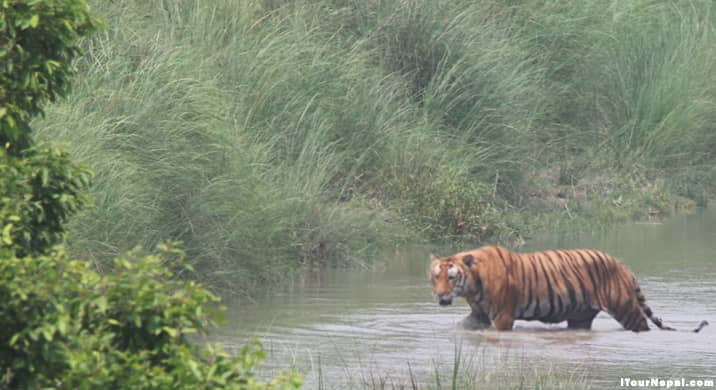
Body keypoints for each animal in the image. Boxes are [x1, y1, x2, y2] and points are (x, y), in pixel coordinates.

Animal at [428, 247, 708, 332]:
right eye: (435, 277)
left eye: (451, 278)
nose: (441, 295)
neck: (471, 287)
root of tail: (622, 265)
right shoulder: (478, 315)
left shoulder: (503, 317)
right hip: (580, 316)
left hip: (625, 308)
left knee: (643, 325)